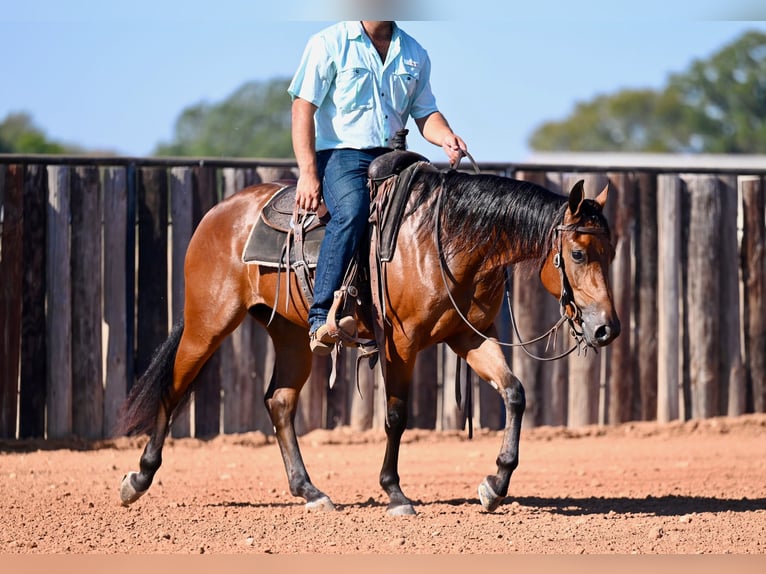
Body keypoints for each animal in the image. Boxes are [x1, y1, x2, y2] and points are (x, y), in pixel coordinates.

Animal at [120, 166, 624, 516]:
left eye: (612, 251)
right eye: (577, 253)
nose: (607, 328)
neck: (445, 239)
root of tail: (219, 213)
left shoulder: (468, 337)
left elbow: (514, 393)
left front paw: (494, 486)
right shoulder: (400, 343)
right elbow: (396, 416)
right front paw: (395, 492)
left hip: (291, 336)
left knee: (279, 401)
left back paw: (310, 491)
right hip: (207, 323)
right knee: (173, 389)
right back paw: (138, 479)